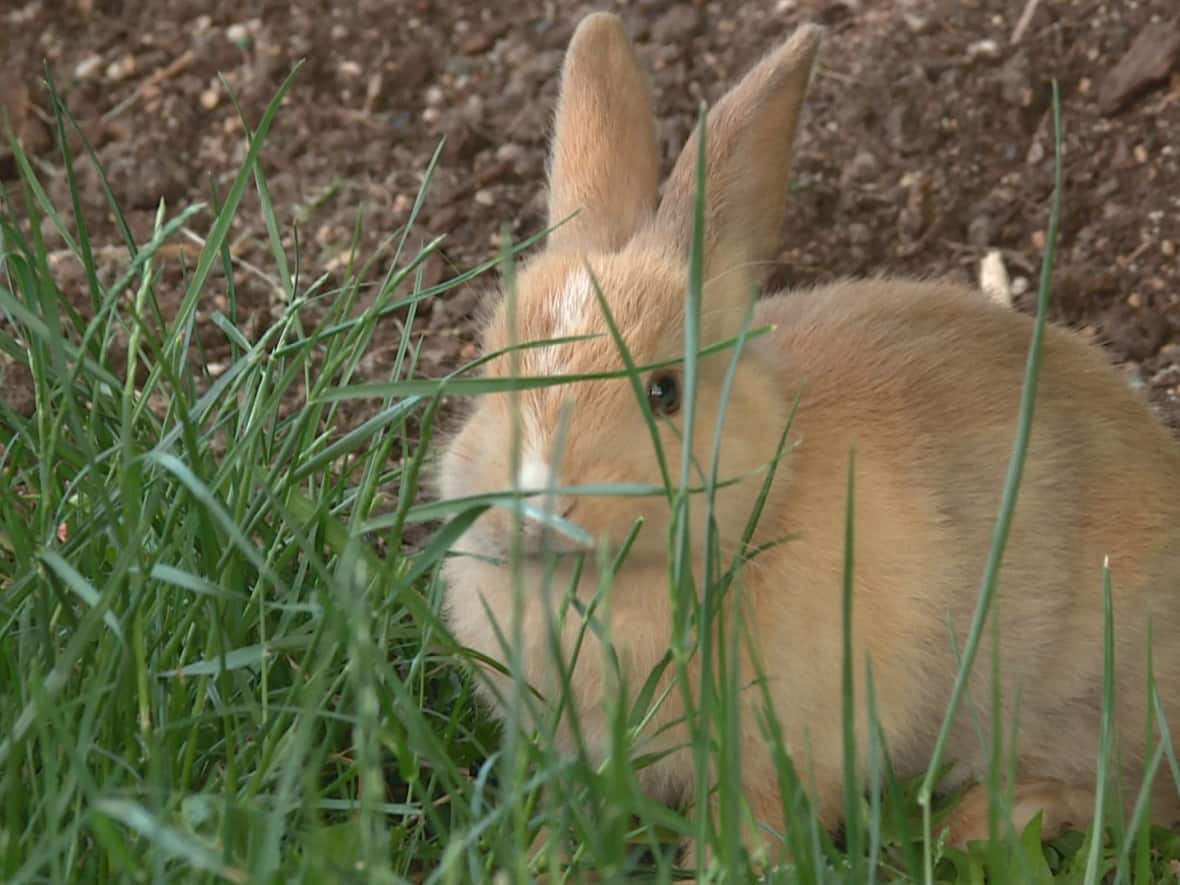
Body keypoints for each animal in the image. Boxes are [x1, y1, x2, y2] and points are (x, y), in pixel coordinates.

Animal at [434, 10, 1180, 868]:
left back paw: (975, 823)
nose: (536, 505)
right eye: (488, 362)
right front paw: (537, 859)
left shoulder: (784, 753)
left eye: (665, 392)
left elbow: (755, 825)